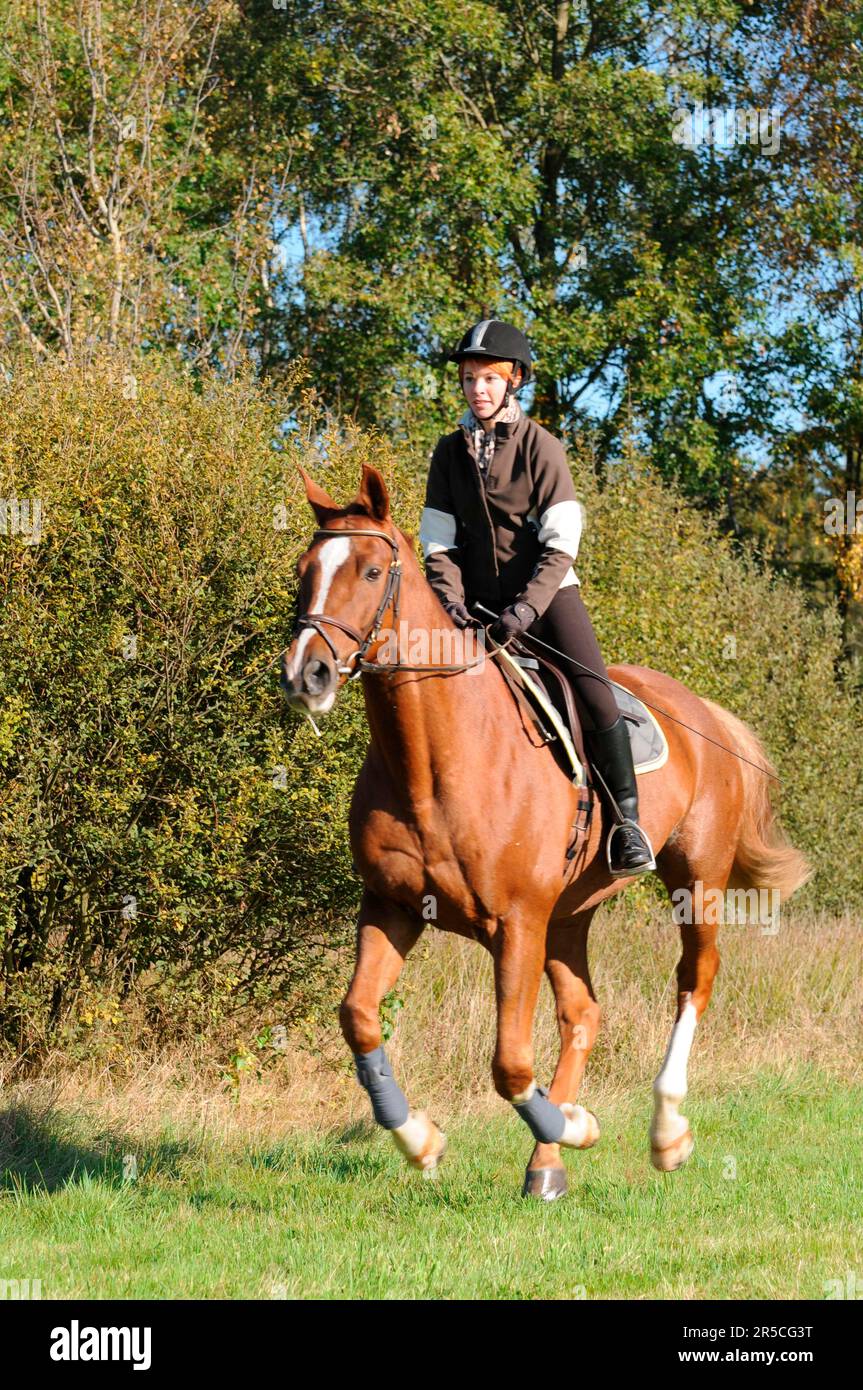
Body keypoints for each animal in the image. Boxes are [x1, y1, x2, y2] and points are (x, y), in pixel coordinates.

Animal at [282, 464, 817, 1195]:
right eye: (304, 570)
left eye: (368, 571)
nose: (304, 674)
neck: (434, 760)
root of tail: (702, 709)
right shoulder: (394, 907)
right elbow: (359, 1018)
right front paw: (421, 1140)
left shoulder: (516, 923)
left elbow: (509, 1062)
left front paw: (578, 1126)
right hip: (570, 913)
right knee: (582, 1013)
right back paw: (547, 1160)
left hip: (696, 879)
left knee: (694, 979)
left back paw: (663, 1132)